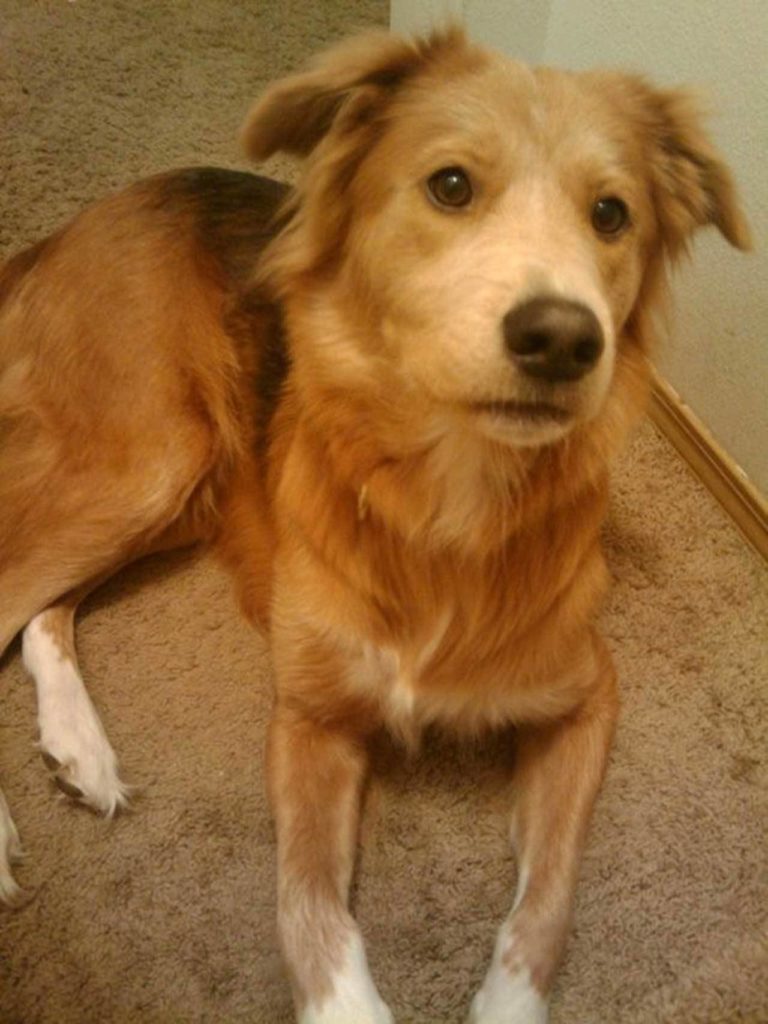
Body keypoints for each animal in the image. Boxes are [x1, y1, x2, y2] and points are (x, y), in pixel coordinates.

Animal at [0, 28, 749, 1024]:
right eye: (451, 186)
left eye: (611, 213)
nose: (563, 339)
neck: (444, 498)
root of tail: (73, 225)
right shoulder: (310, 718)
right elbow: (309, 907)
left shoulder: (586, 698)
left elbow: (543, 906)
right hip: (148, 456)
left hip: (185, 482)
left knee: (44, 604)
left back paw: (80, 747)